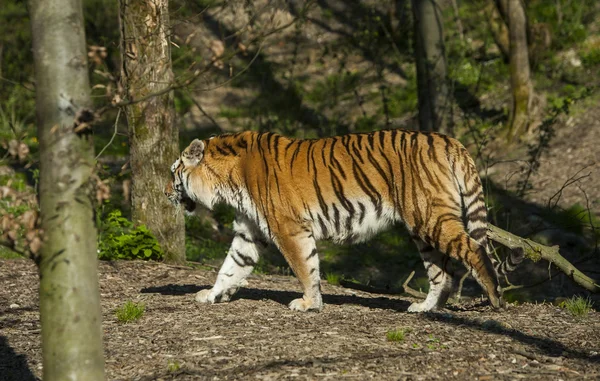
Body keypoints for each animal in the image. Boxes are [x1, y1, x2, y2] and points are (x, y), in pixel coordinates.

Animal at [165, 129, 520, 310]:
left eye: (173, 173)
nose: (165, 192)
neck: (226, 182)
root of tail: (450, 140)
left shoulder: (288, 228)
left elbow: (304, 267)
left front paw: (309, 303)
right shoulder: (250, 231)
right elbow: (231, 267)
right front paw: (212, 295)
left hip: (430, 218)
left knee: (474, 250)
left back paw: (495, 301)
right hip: (423, 229)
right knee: (441, 274)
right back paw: (425, 309)